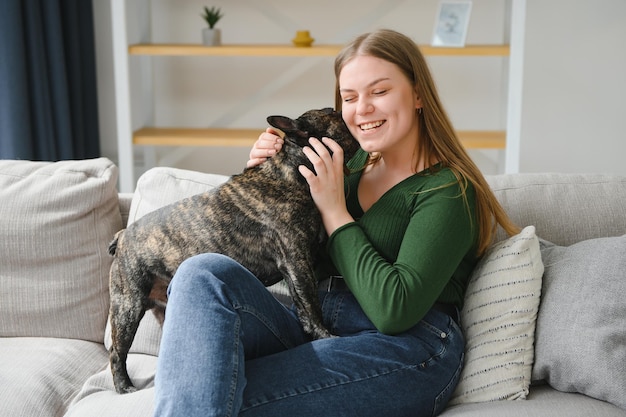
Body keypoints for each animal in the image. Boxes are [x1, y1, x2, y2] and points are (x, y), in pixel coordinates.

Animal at [108, 107, 356, 394]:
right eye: (335, 114)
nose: (346, 113)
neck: (292, 170)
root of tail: (122, 236)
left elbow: (305, 304)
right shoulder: (297, 262)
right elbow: (310, 303)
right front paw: (325, 336)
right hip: (128, 307)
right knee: (116, 352)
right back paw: (124, 387)